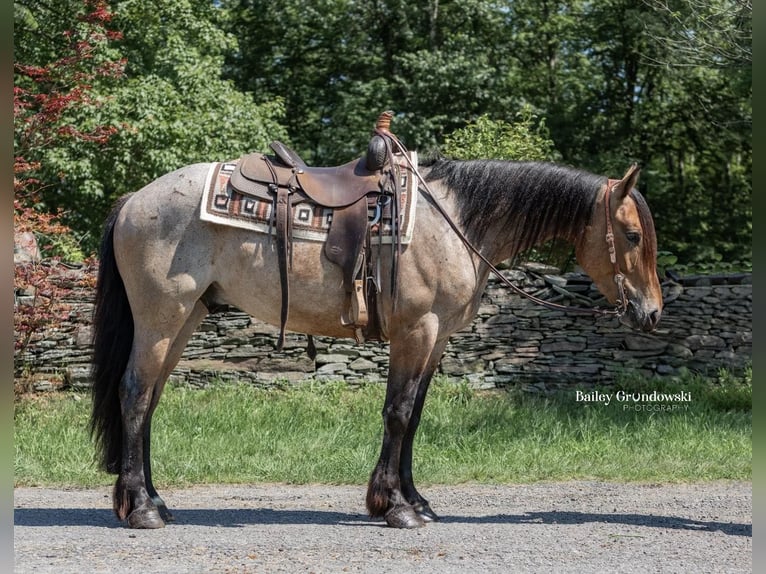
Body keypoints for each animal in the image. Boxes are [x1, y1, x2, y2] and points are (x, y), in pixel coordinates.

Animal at [91, 144, 664, 532]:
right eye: (633, 235)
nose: (653, 312)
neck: (455, 221)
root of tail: (134, 200)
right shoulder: (417, 330)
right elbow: (399, 414)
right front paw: (396, 508)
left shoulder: (435, 339)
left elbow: (414, 416)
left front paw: (412, 500)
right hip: (162, 318)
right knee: (135, 394)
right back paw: (140, 510)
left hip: (184, 318)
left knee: (149, 399)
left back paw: (154, 501)